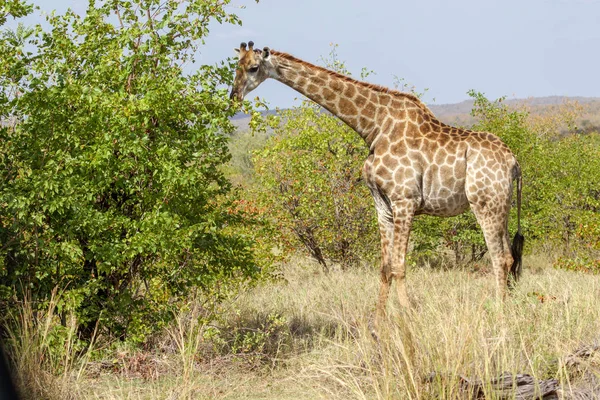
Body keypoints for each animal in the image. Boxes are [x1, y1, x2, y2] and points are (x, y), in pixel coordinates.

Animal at [232, 40, 524, 316]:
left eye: (253, 68)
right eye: (236, 66)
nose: (234, 96)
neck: (373, 127)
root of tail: (514, 162)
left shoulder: (405, 200)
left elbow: (399, 266)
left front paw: (409, 318)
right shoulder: (382, 204)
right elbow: (385, 268)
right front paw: (379, 323)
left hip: (484, 205)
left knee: (499, 259)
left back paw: (499, 315)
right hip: (501, 206)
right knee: (510, 257)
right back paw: (507, 309)